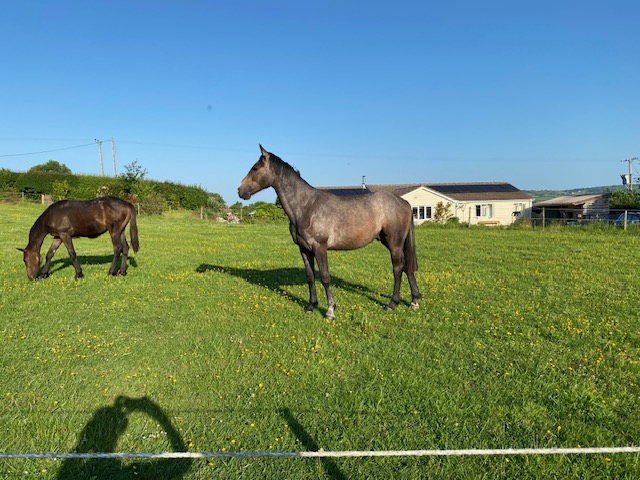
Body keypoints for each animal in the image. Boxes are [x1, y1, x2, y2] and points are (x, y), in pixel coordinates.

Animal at [238, 145, 421, 320]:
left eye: (255, 168)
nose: (240, 191)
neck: (306, 207)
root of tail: (404, 202)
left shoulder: (320, 248)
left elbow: (325, 277)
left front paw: (330, 311)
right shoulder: (304, 250)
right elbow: (310, 277)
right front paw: (311, 306)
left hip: (394, 242)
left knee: (398, 268)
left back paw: (392, 304)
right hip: (388, 241)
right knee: (407, 266)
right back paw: (414, 301)